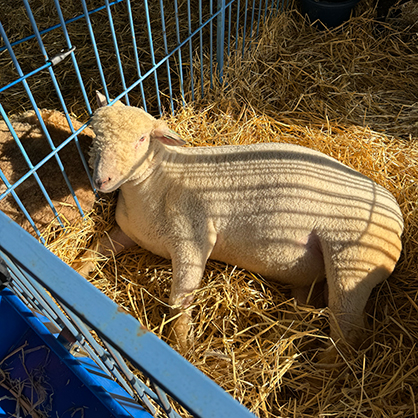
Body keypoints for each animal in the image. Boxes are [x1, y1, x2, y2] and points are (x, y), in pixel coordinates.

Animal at [76, 97, 404, 352]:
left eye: (142, 139)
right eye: (94, 134)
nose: (101, 181)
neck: (156, 181)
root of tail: (397, 214)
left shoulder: (192, 240)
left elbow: (179, 301)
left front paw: (183, 346)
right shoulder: (127, 232)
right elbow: (95, 250)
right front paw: (78, 270)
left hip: (353, 262)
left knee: (348, 330)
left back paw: (322, 371)